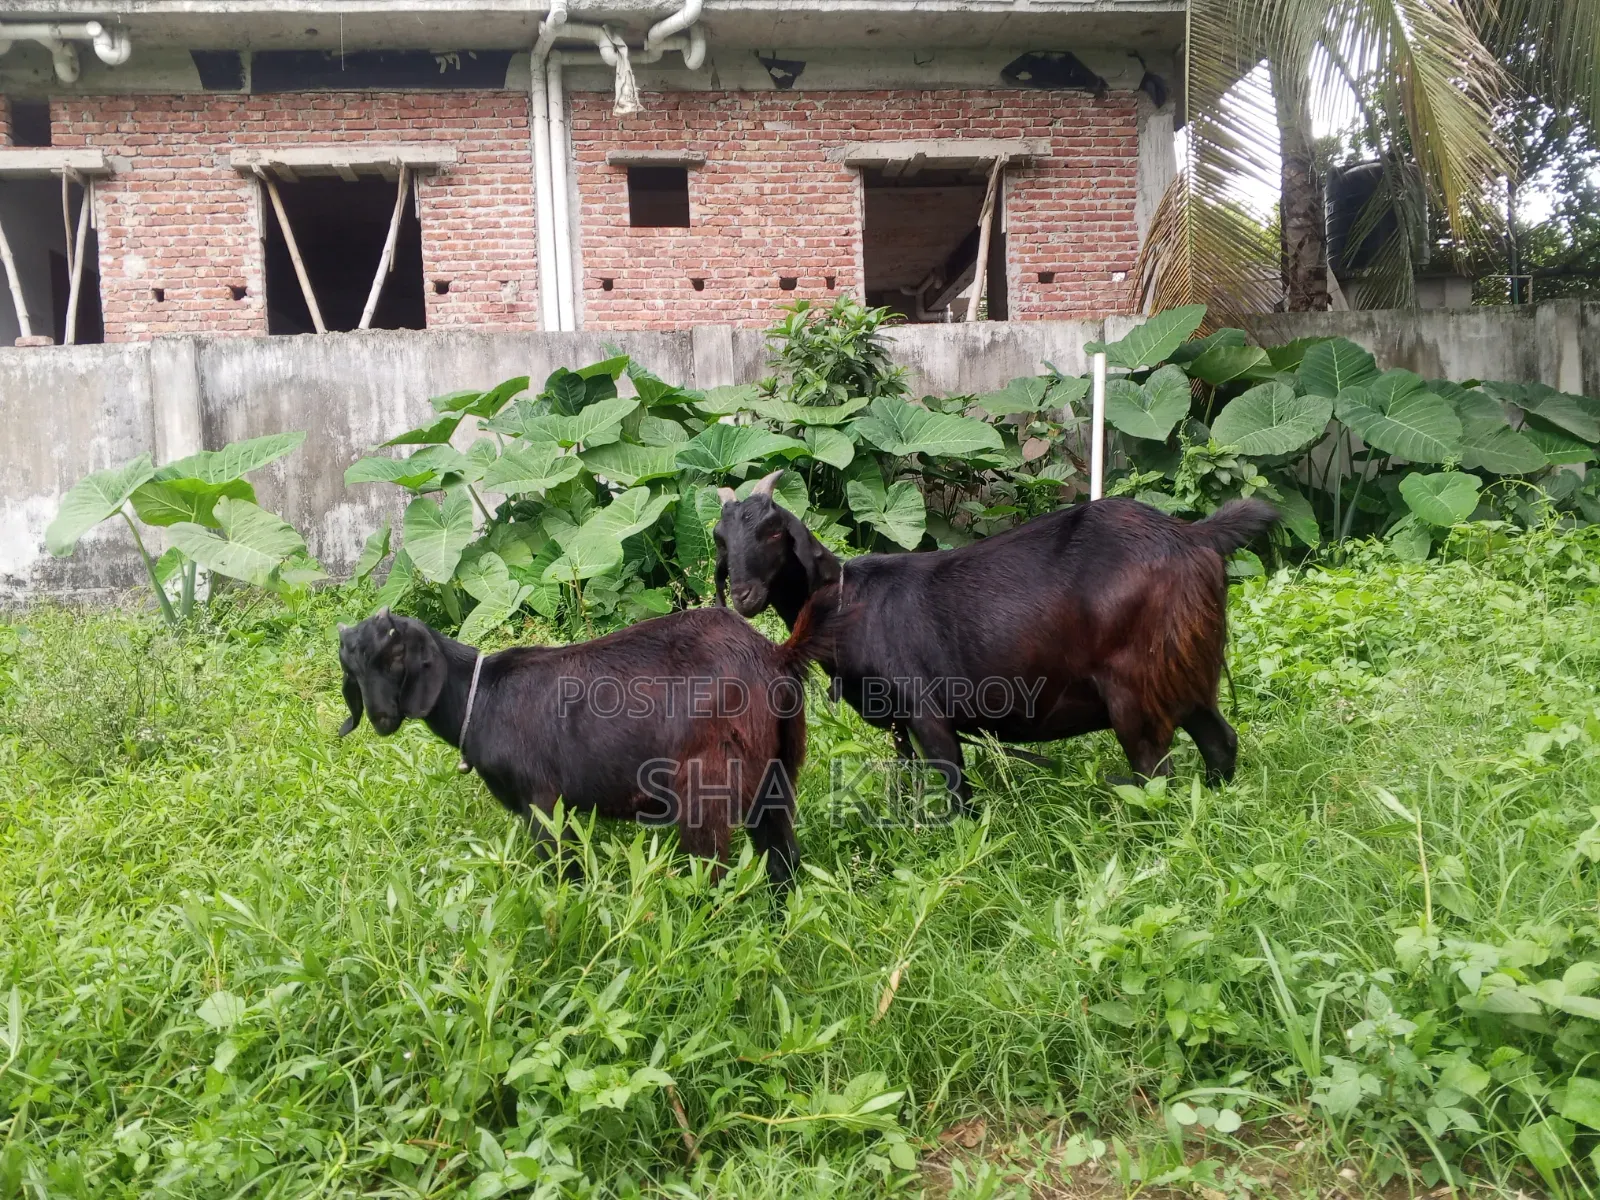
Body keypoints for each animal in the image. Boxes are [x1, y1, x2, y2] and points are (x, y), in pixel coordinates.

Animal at [336, 605, 824, 888]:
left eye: (395, 655)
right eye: (351, 662)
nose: (381, 718)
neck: (482, 695)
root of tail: (774, 656)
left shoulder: (541, 800)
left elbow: (562, 873)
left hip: (707, 781)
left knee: (715, 868)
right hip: (778, 772)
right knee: (783, 857)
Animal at [714, 472, 1279, 810]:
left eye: (772, 531)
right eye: (721, 539)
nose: (743, 595)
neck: (849, 600)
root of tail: (1193, 537)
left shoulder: (927, 710)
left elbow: (956, 786)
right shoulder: (895, 720)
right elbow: (907, 774)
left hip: (1135, 688)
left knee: (1154, 773)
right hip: (1184, 671)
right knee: (1219, 741)